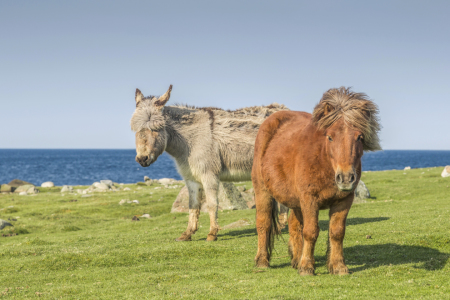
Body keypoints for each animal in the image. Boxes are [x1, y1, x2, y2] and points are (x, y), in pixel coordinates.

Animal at [253, 86, 380, 274]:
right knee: (264, 223)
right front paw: (307, 267)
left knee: (294, 225)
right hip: (263, 191)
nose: (345, 178)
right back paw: (262, 261)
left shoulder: (343, 201)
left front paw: (338, 266)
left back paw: (296, 259)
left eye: (360, 137)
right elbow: (310, 232)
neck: (324, 161)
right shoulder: (309, 199)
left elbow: (336, 232)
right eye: (330, 137)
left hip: (296, 201)